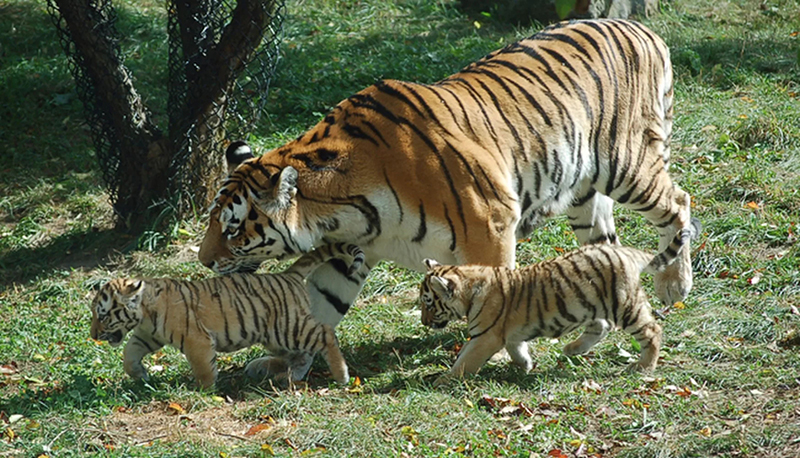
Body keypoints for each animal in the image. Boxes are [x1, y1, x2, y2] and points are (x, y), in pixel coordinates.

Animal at [89, 243, 364, 388]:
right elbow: (129, 353)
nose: (93, 335)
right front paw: (140, 375)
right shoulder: (147, 336)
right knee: (302, 356)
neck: (144, 312)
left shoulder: (196, 340)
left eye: (102, 316)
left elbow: (203, 367)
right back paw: (287, 378)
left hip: (289, 328)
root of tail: (288, 274)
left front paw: (204, 390)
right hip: (276, 337)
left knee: (326, 334)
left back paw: (342, 376)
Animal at [418, 218, 701, 384]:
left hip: (625, 304)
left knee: (651, 330)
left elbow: (464, 361)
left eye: (429, 303)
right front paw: (525, 366)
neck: (469, 286)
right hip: (592, 304)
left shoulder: (485, 337)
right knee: (601, 327)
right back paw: (572, 349)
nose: (423, 321)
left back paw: (643, 367)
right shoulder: (508, 334)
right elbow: (517, 349)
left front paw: (442, 381)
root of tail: (625, 251)